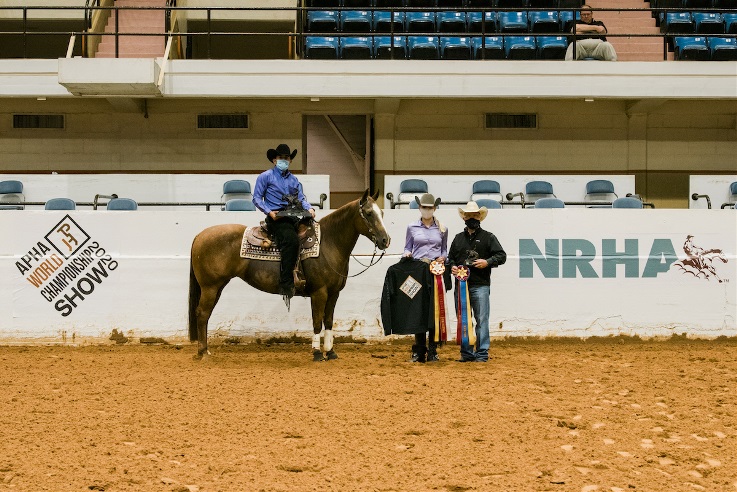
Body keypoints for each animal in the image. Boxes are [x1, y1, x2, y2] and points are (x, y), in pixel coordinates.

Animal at [187, 190, 388, 360]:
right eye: (368, 213)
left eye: (382, 213)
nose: (386, 240)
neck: (328, 243)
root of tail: (199, 235)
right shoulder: (319, 292)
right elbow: (317, 322)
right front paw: (317, 353)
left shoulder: (333, 293)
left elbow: (329, 322)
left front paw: (330, 352)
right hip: (210, 287)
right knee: (202, 313)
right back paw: (202, 353)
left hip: (217, 287)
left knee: (206, 314)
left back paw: (206, 350)